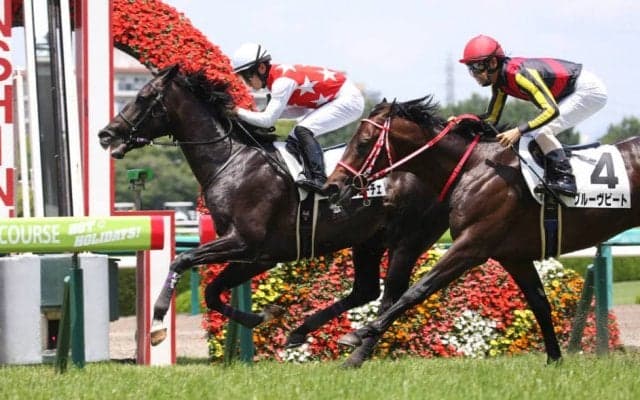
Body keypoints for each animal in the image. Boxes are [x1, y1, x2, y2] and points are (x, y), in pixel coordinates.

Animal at [98, 65, 449, 366]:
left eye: (143, 97)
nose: (106, 134)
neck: (232, 162)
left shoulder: (245, 242)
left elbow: (181, 260)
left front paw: (157, 324)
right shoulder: (258, 255)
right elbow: (212, 293)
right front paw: (264, 316)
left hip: (407, 240)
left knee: (392, 295)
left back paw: (357, 353)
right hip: (368, 240)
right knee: (366, 290)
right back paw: (302, 332)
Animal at [324, 96, 640, 364]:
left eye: (363, 143)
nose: (332, 186)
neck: (474, 168)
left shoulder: (471, 246)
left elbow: (416, 291)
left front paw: (358, 334)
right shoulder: (514, 256)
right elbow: (539, 303)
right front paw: (554, 358)